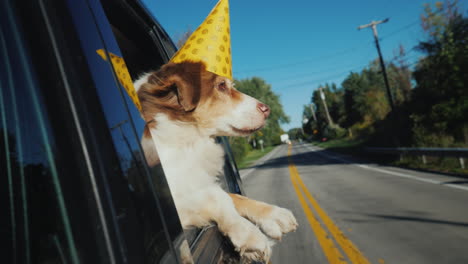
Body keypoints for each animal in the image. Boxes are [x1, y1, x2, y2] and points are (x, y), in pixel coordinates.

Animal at [133, 61, 298, 262]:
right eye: (221, 86)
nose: (267, 109)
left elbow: (233, 196)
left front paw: (274, 214)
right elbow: (217, 197)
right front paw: (248, 234)